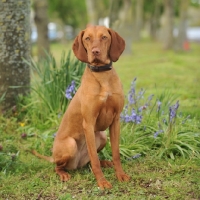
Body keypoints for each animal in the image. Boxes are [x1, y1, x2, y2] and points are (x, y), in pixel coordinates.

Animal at [32, 25, 130, 189]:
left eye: (104, 37)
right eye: (87, 38)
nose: (95, 52)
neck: (102, 76)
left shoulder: (116, 120)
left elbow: (116, 153)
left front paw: (120, 175)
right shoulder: (88, 123)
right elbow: (94, 159)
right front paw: (102, 182)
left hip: (102, 136)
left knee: (89, 162)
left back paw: (105, 162)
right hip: (70, 145)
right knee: (59, 166)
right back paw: (63, 174)